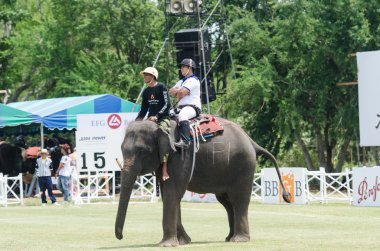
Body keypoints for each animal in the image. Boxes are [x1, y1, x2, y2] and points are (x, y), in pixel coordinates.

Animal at [114, 118, 290, 246]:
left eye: (142, 151)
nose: (121, 237)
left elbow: (172, 193)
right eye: (121, 149)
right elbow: (170, 195)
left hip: (243, 164)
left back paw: (239, 240)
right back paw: (229, 238)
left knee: (239, 200)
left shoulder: (181, 156)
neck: (159, 125)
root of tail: (252, 142)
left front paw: (167, 245)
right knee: (227, 202)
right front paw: (184, 242)